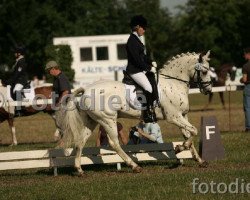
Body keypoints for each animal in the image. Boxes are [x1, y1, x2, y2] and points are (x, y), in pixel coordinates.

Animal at [59, 50, 213, 174]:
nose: (208, 90)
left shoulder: (183, 115)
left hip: (91, 121)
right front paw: (179, 148)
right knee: (114, 143)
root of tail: (86, 89)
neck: (173, 84)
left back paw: (79, 170)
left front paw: (199, 160)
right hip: (108, 120)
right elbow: (194, 131)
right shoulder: (173, 117)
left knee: (80, 141)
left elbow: (189, 134)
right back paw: (134, 166)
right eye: (205, 71)